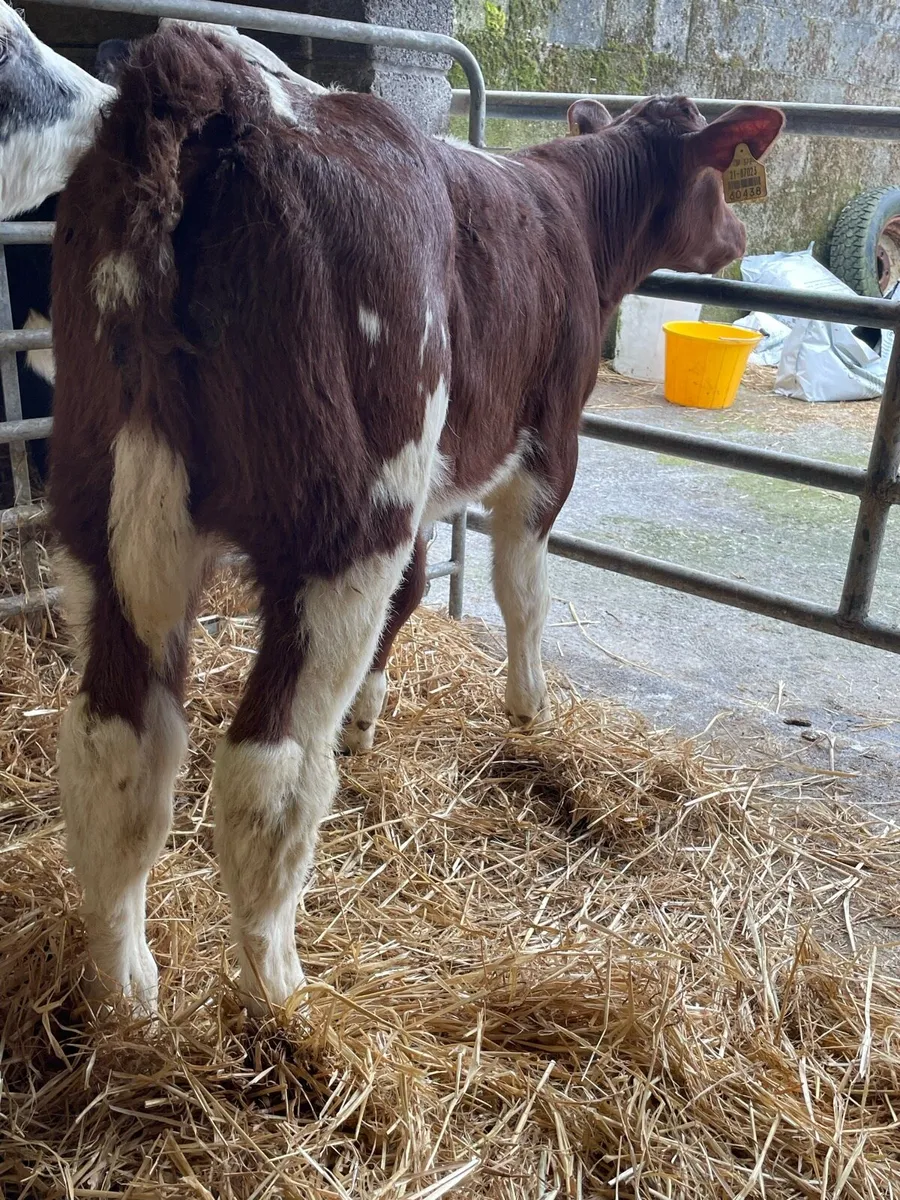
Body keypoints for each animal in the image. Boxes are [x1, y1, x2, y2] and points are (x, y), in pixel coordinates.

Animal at [44, 22, 783, 1014]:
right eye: (721, 180)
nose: (738, 240)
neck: (576, 214)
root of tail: (202, 69)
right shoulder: (546, 447)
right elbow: (520, 592)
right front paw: (528, 709)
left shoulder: (428, 487)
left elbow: (418, 593)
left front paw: (368, 718)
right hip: (343, 522)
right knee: (266, 771)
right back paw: (284, 995)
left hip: (109, 509)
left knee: (115, 753)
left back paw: (127, 991)